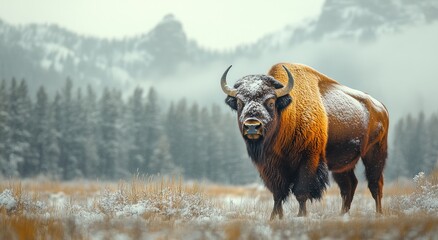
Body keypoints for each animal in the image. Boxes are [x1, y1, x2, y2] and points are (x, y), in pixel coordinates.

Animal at [221, 62, 388, 219]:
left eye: (271, 102)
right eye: (239, 103)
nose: (252, 126)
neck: (288, 112)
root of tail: (381, 107)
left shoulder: (308, 159)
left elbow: (301, 191)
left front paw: (301, 215)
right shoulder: (270, 166)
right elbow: (278, 194)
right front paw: (275, 217)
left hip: (374, 153)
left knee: (375, 184)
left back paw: (378, 214)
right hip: (342, 164)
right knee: (349, 186)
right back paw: (342, 215)